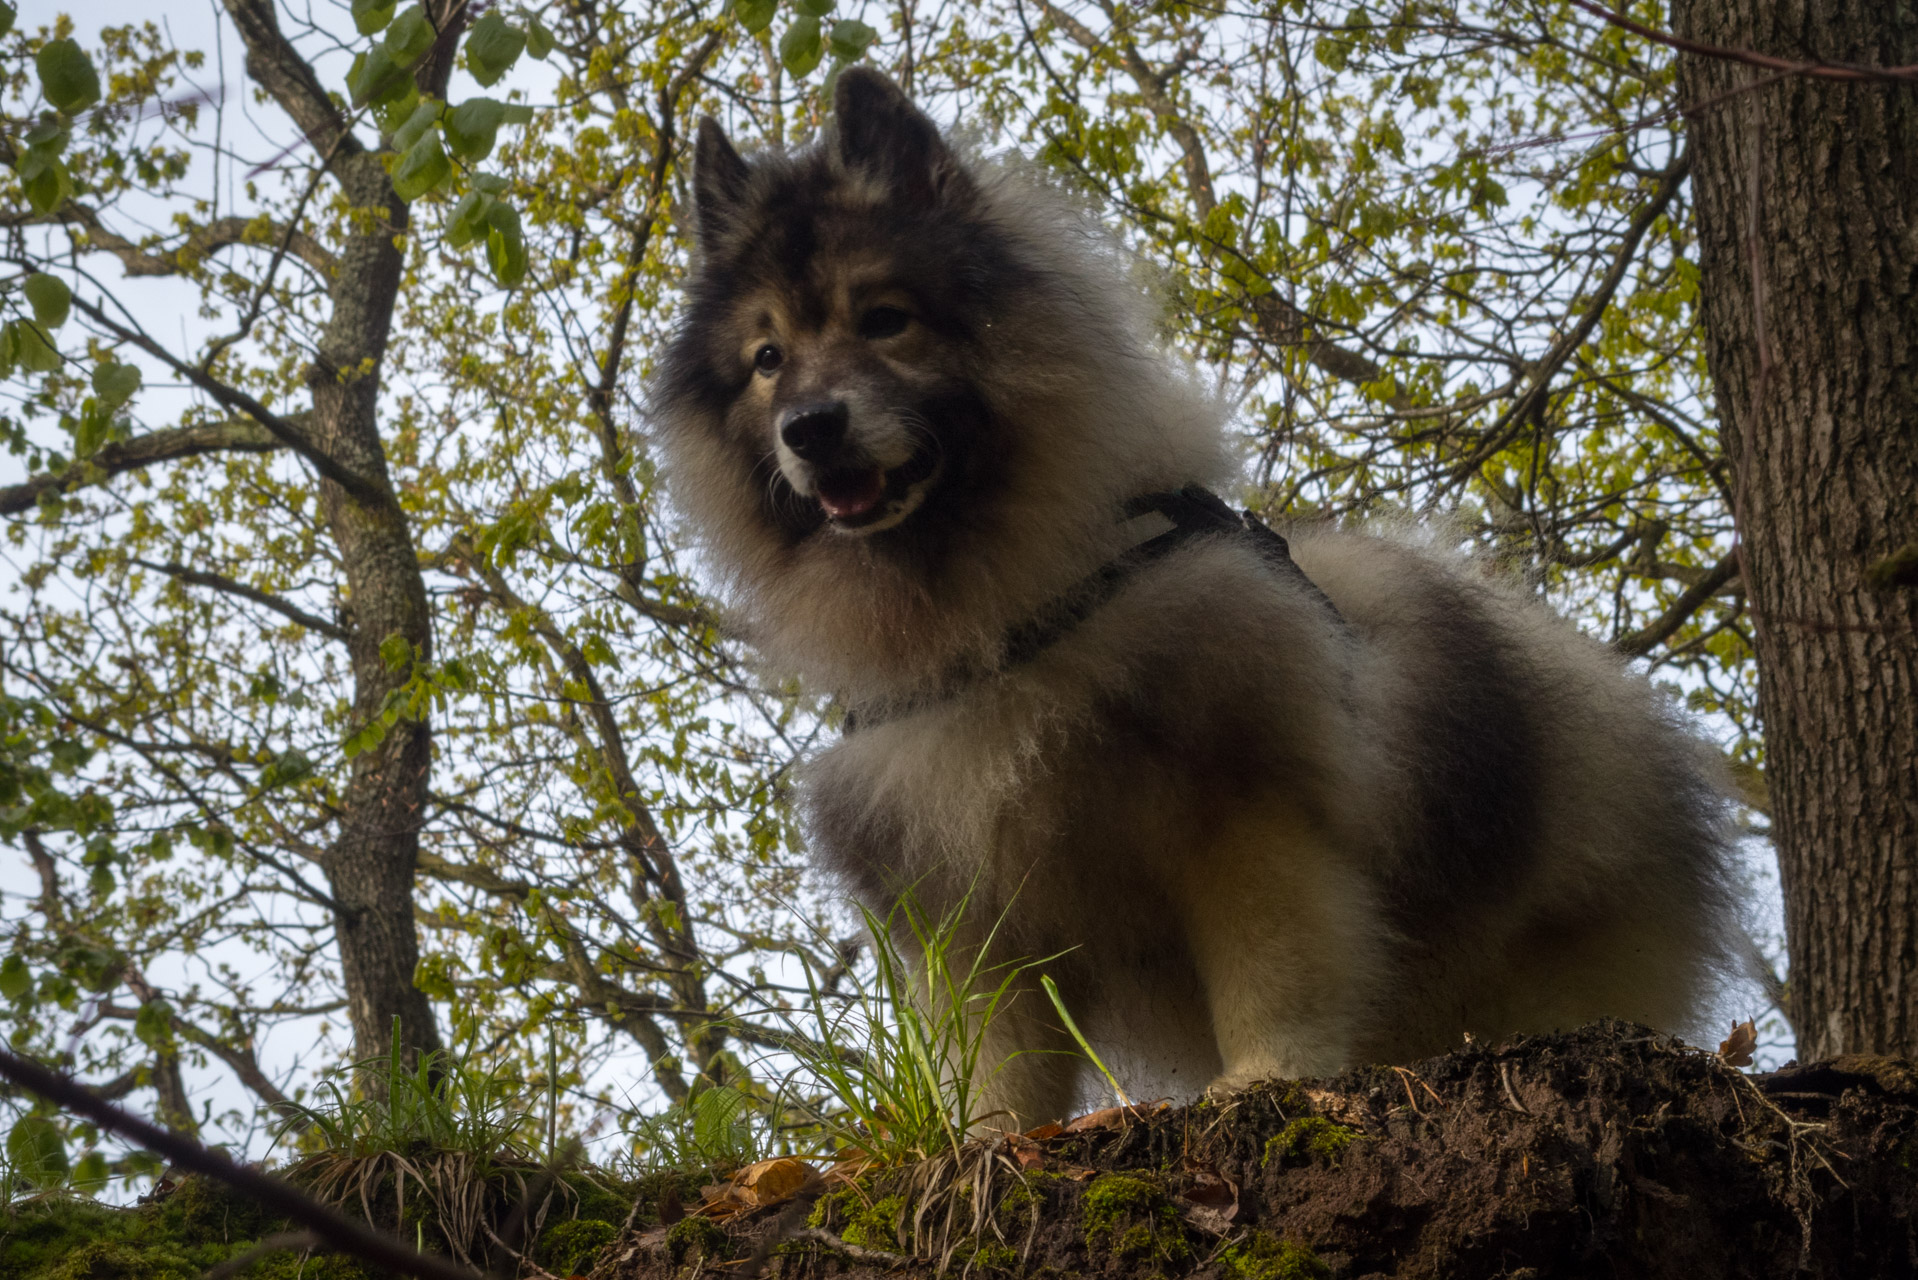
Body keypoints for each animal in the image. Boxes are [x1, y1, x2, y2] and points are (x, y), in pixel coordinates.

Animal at [652, 67, 1749, 1120]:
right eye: (767, 360)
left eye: (884, 320)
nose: (809, 426)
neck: (1007, 625)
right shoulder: (977, 916)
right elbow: (998, 1065)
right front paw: (982, 1146)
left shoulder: (1243, 814)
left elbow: (1273, 960)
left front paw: (1267, 1073)